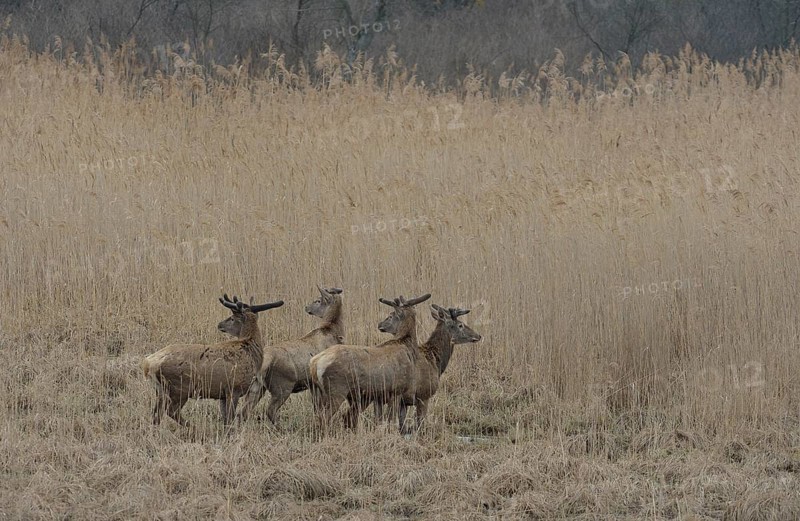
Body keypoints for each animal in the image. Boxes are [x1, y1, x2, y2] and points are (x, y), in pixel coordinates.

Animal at [141, 294, 284, 427]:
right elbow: (230, 418)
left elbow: (225, 419)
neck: (250, 351)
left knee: (156, 414)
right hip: (180, 387)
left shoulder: (223, 393)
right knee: (171, 411)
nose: (219, 324)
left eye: (231, 318)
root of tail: (148, 364)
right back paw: (193, 428)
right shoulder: (234, 388)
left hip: (161, 390)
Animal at [235, 286, 345, 426]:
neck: (334, 331)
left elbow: (317, 408)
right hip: (282, 386)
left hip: (257, 386)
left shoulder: (312, 384)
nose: (306, 307)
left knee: (243, 412)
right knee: (270, 410)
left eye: (318, 300)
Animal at [308, 293, 431, 434]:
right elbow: (391, 420)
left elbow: (379, 420)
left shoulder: (378, 396)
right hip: (336, 389)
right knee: (324, 417)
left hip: (318, 392)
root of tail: (315, 363)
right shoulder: (396, 390)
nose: (380, 325)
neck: (407, 347)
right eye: (391, 314)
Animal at [369, 304, 482, 433]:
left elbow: (403, 426)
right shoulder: (424, 395)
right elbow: (420, 424)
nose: (478, 335)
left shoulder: (404, 402)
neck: (436, 361)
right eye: (460, 325)